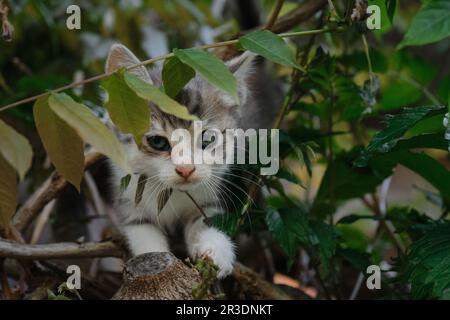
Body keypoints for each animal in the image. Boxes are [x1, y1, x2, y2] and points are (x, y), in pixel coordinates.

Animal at [104, 43, 274, 278]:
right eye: (158, 142)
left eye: (208, 138)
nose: (185, 169)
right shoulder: (128, 198)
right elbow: (142, 232)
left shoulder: (210, 195)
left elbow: (206, 219)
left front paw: (217, 249)